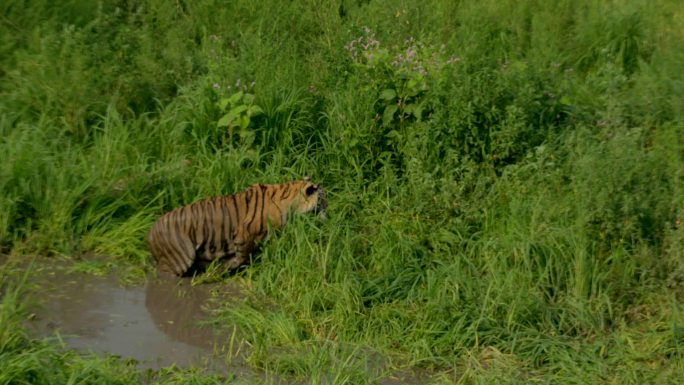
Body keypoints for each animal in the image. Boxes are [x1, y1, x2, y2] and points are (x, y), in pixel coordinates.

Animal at [150, 177, 326, 276]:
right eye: (323, 201)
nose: (328, 215)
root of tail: (150, 233)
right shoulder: (244, 235)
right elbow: (242, 256)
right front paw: (227, 267)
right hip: (181, 256)